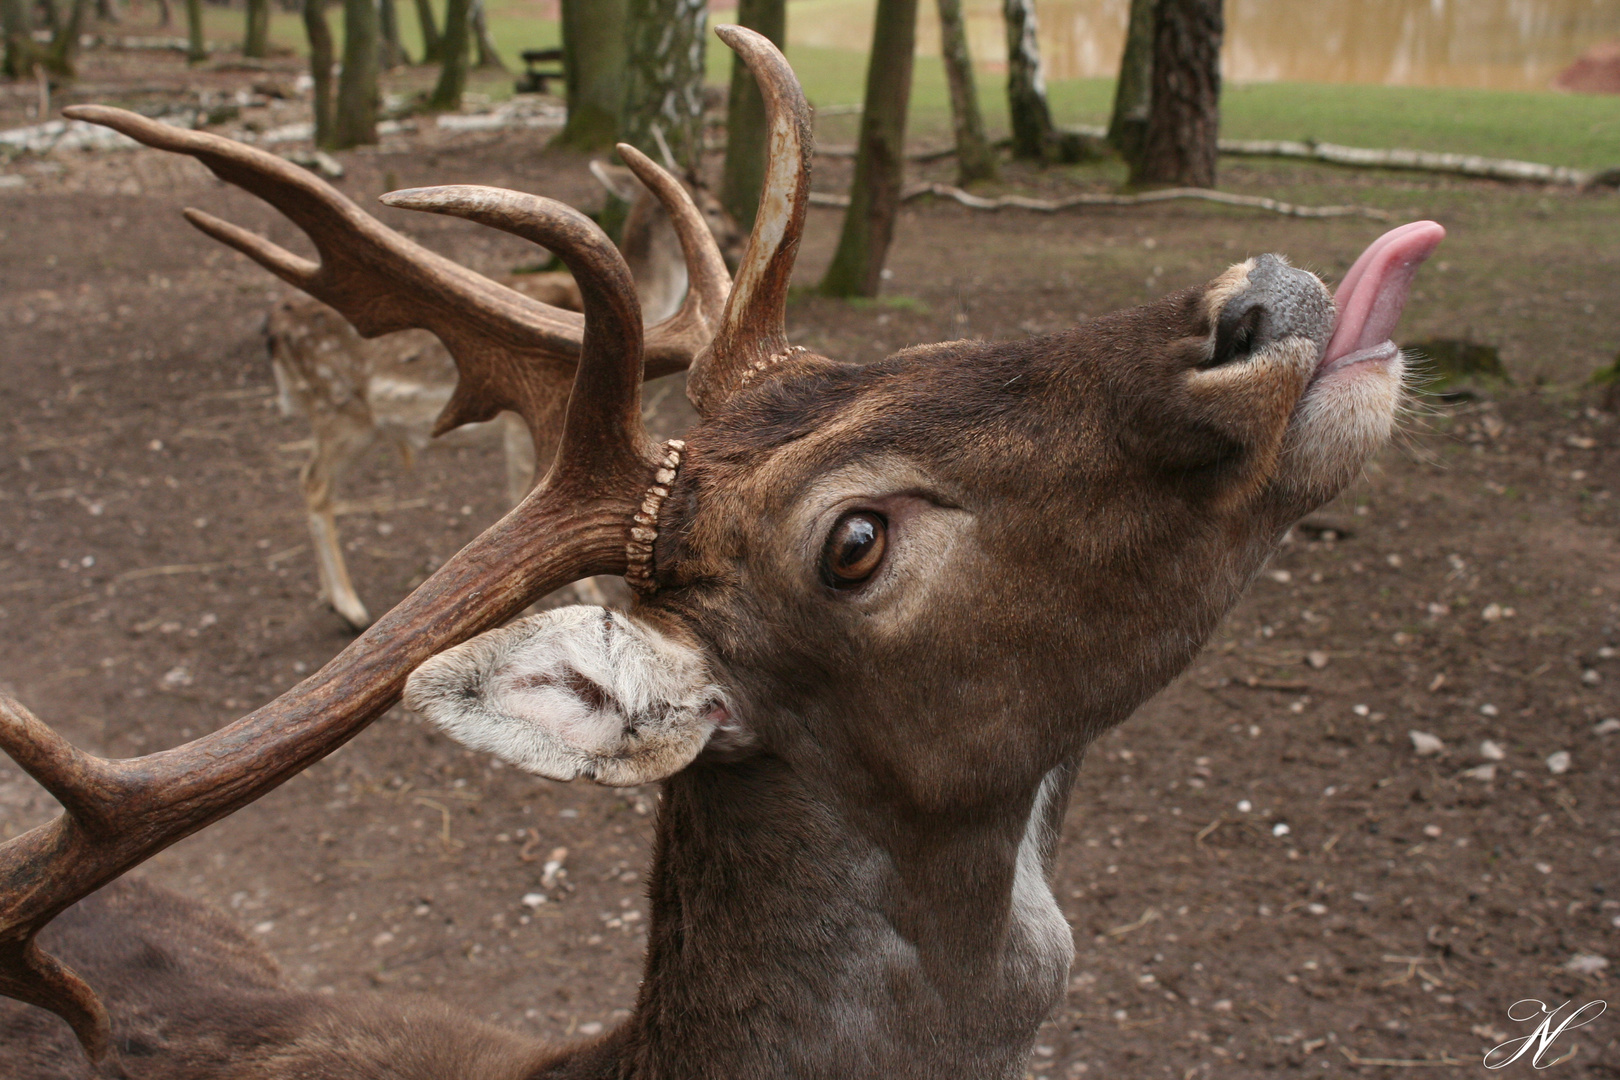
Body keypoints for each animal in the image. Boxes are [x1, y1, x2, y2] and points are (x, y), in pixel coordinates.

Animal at [265, 151, 745, 628]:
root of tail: (273, 332)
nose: (738, 242)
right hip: (340, 409)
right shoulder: (528, 420)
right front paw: (579, 591)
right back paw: (349, 606)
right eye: (712, 206)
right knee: (313, 483)